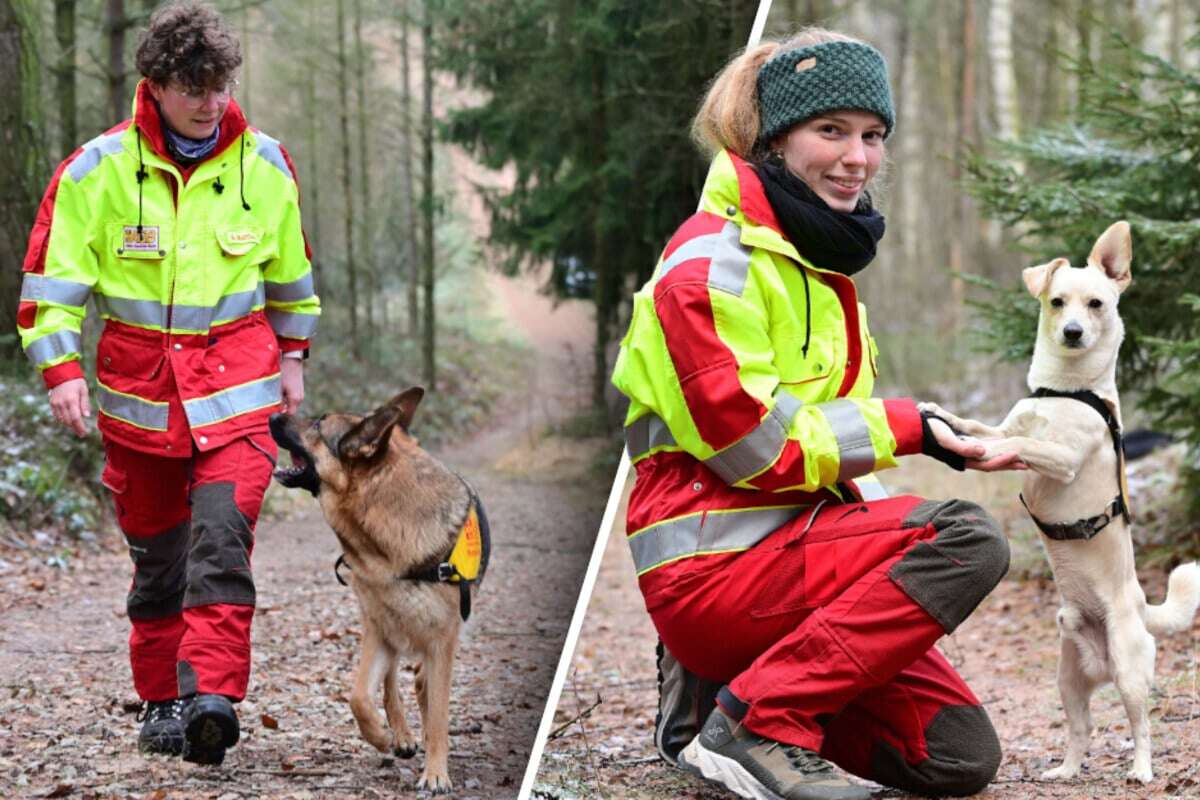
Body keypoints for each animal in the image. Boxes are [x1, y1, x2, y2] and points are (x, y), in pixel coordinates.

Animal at [270, 388, 489, 796]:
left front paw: (436, 771)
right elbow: (359, 696)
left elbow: (438, 713)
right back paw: (400, 734)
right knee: (389, 683)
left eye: (319, 423)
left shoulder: (442, 640)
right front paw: (382, 737)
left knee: (420, 683)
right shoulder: (379, 632)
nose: (274, 414)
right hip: (384, 626)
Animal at [926, 221, 1200, 786]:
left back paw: (1141, 770)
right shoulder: (1007, 423)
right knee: (1081, 728)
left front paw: (980, 451)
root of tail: (1141, 608)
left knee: (1141, 724)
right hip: (1068, 680)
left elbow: (1017, 445)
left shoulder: (1062, 457)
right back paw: (1066, 771)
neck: (1064, 392)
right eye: (1057, 303)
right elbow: (983, 425)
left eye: (1096, 304)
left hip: (1130, 671)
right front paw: (944, 419)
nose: (1073, 331)